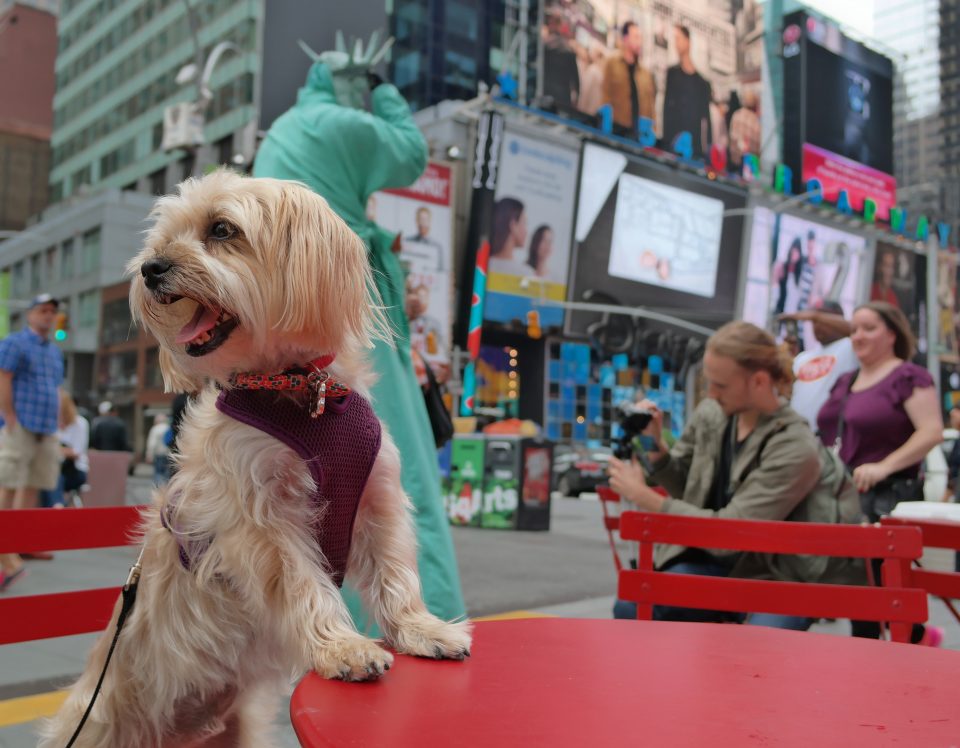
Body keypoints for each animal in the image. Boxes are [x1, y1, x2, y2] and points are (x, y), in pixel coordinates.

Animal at [43, 172, 470, 748]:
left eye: (222, 229)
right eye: (164, 238)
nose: (150, 268)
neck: (299, 389)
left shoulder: (379, 501)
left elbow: (396, 573)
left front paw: (421, 629)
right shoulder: (261, 520)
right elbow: (303, 582)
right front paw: (342, 646)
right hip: (102, 725)